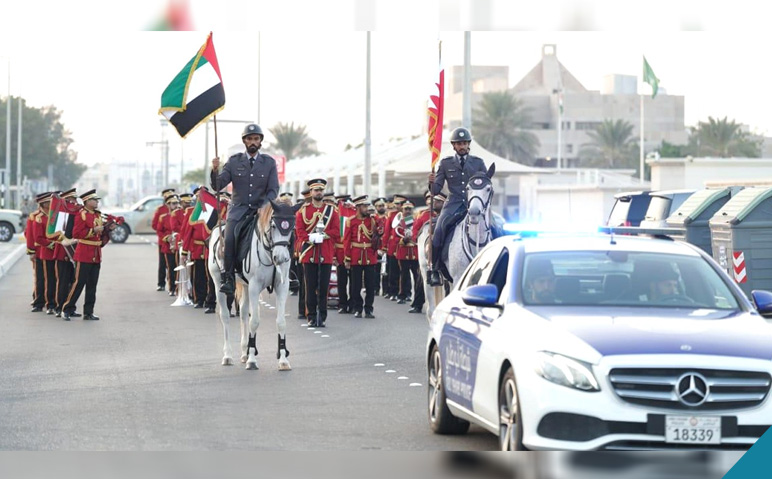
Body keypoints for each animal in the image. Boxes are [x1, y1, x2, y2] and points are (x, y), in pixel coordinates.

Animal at [207, 199, 304, 372]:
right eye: (273, 225)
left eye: (292, 227)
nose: (281, 258)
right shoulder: (254, 287)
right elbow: (255, 321)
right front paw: (252, 359)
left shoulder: (281, 287)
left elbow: (281, 322)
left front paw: (283, 360)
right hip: (218, 282)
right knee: (225, 316)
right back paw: (228, 355)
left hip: (244, 286)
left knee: (244, 313)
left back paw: (244, 352)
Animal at [420, 167, 498, 320]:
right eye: (468, 188)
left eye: (488, 188)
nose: (474, 212)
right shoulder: (458, 278)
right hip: (426, 271)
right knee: (431, 310)